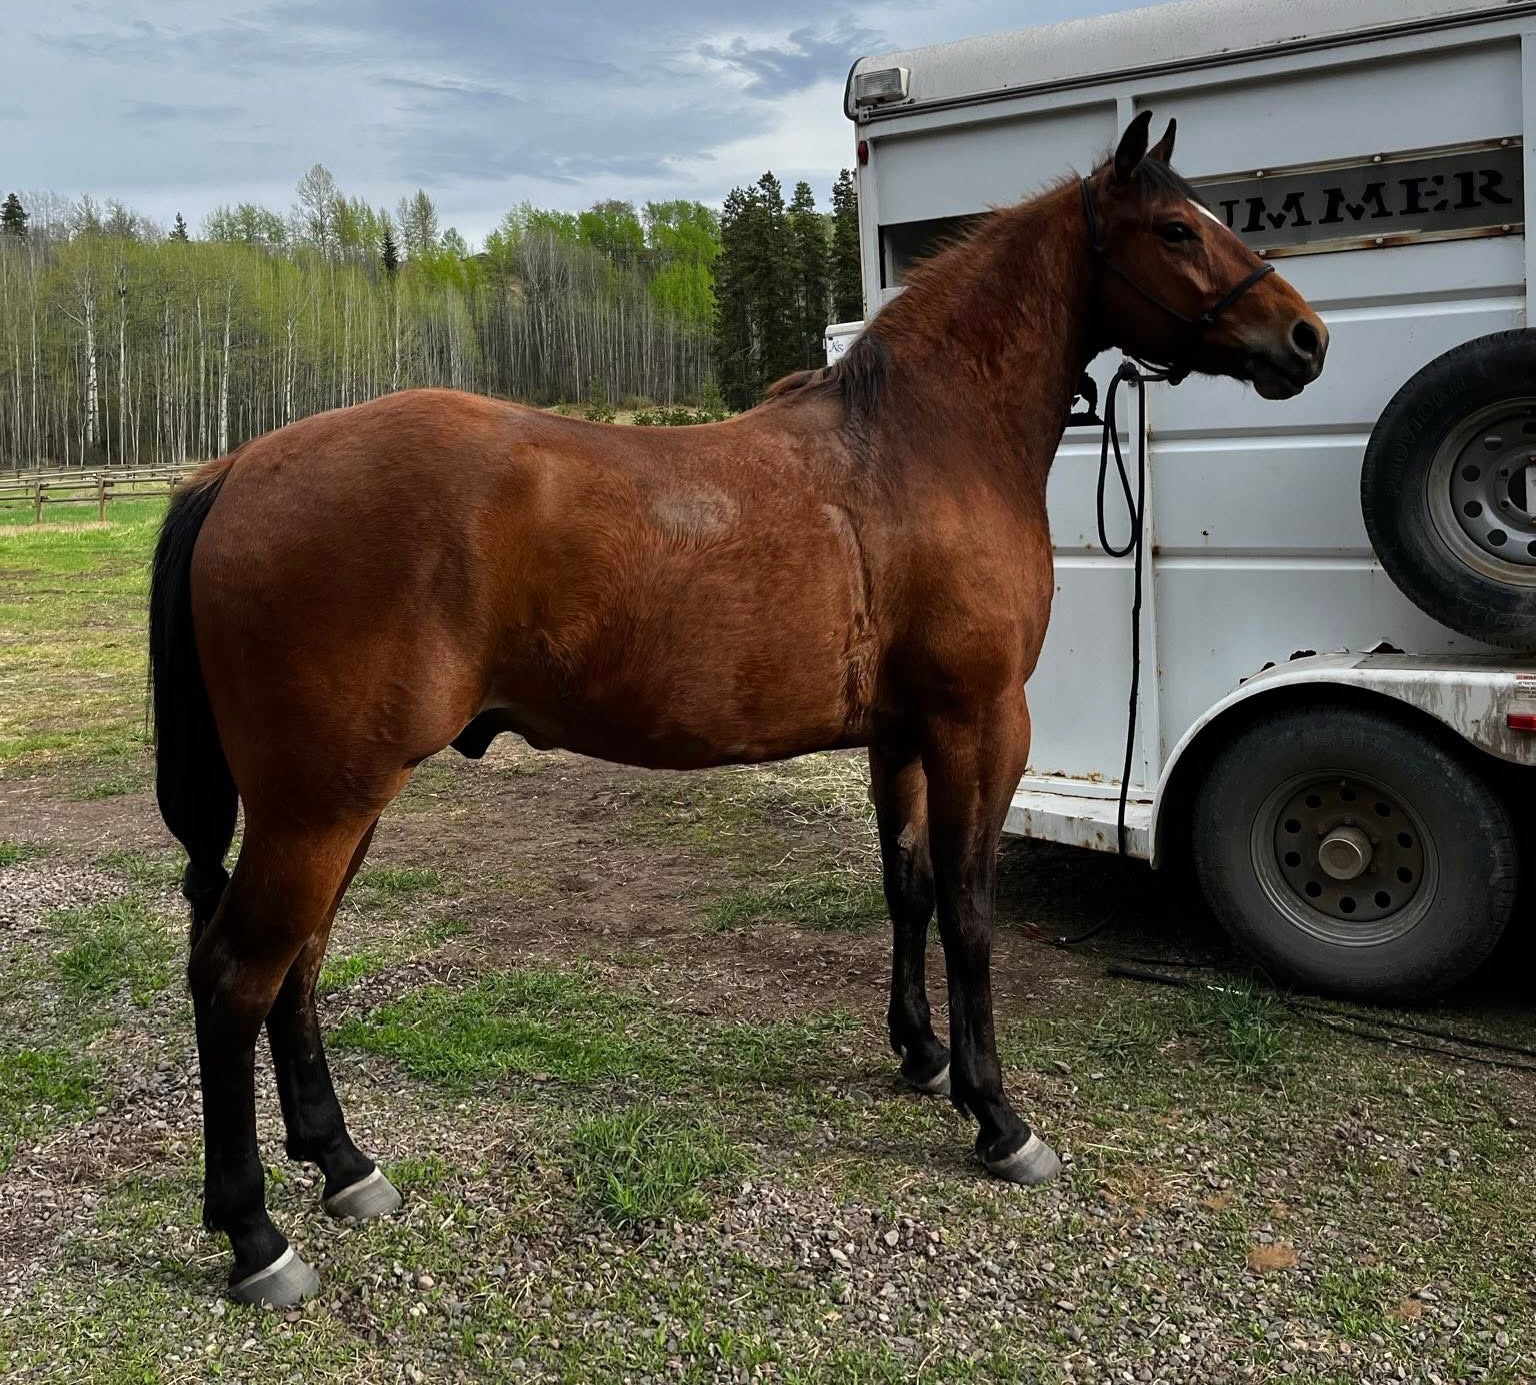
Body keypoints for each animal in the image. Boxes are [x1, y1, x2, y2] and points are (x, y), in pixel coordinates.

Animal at [147, 112, 1327, 1306]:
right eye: (1177, 228)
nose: (1307, 338)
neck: (924, 445)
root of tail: (238, 469)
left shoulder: (901, 735)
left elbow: (907, 889)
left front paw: (921, 1053)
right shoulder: (978, 722)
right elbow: (970, 911)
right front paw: (997, 1115)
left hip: (343, 800)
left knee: (298, 964)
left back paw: (343, 1163)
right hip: (319, 804)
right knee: (237, 974)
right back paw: (255, 1234)